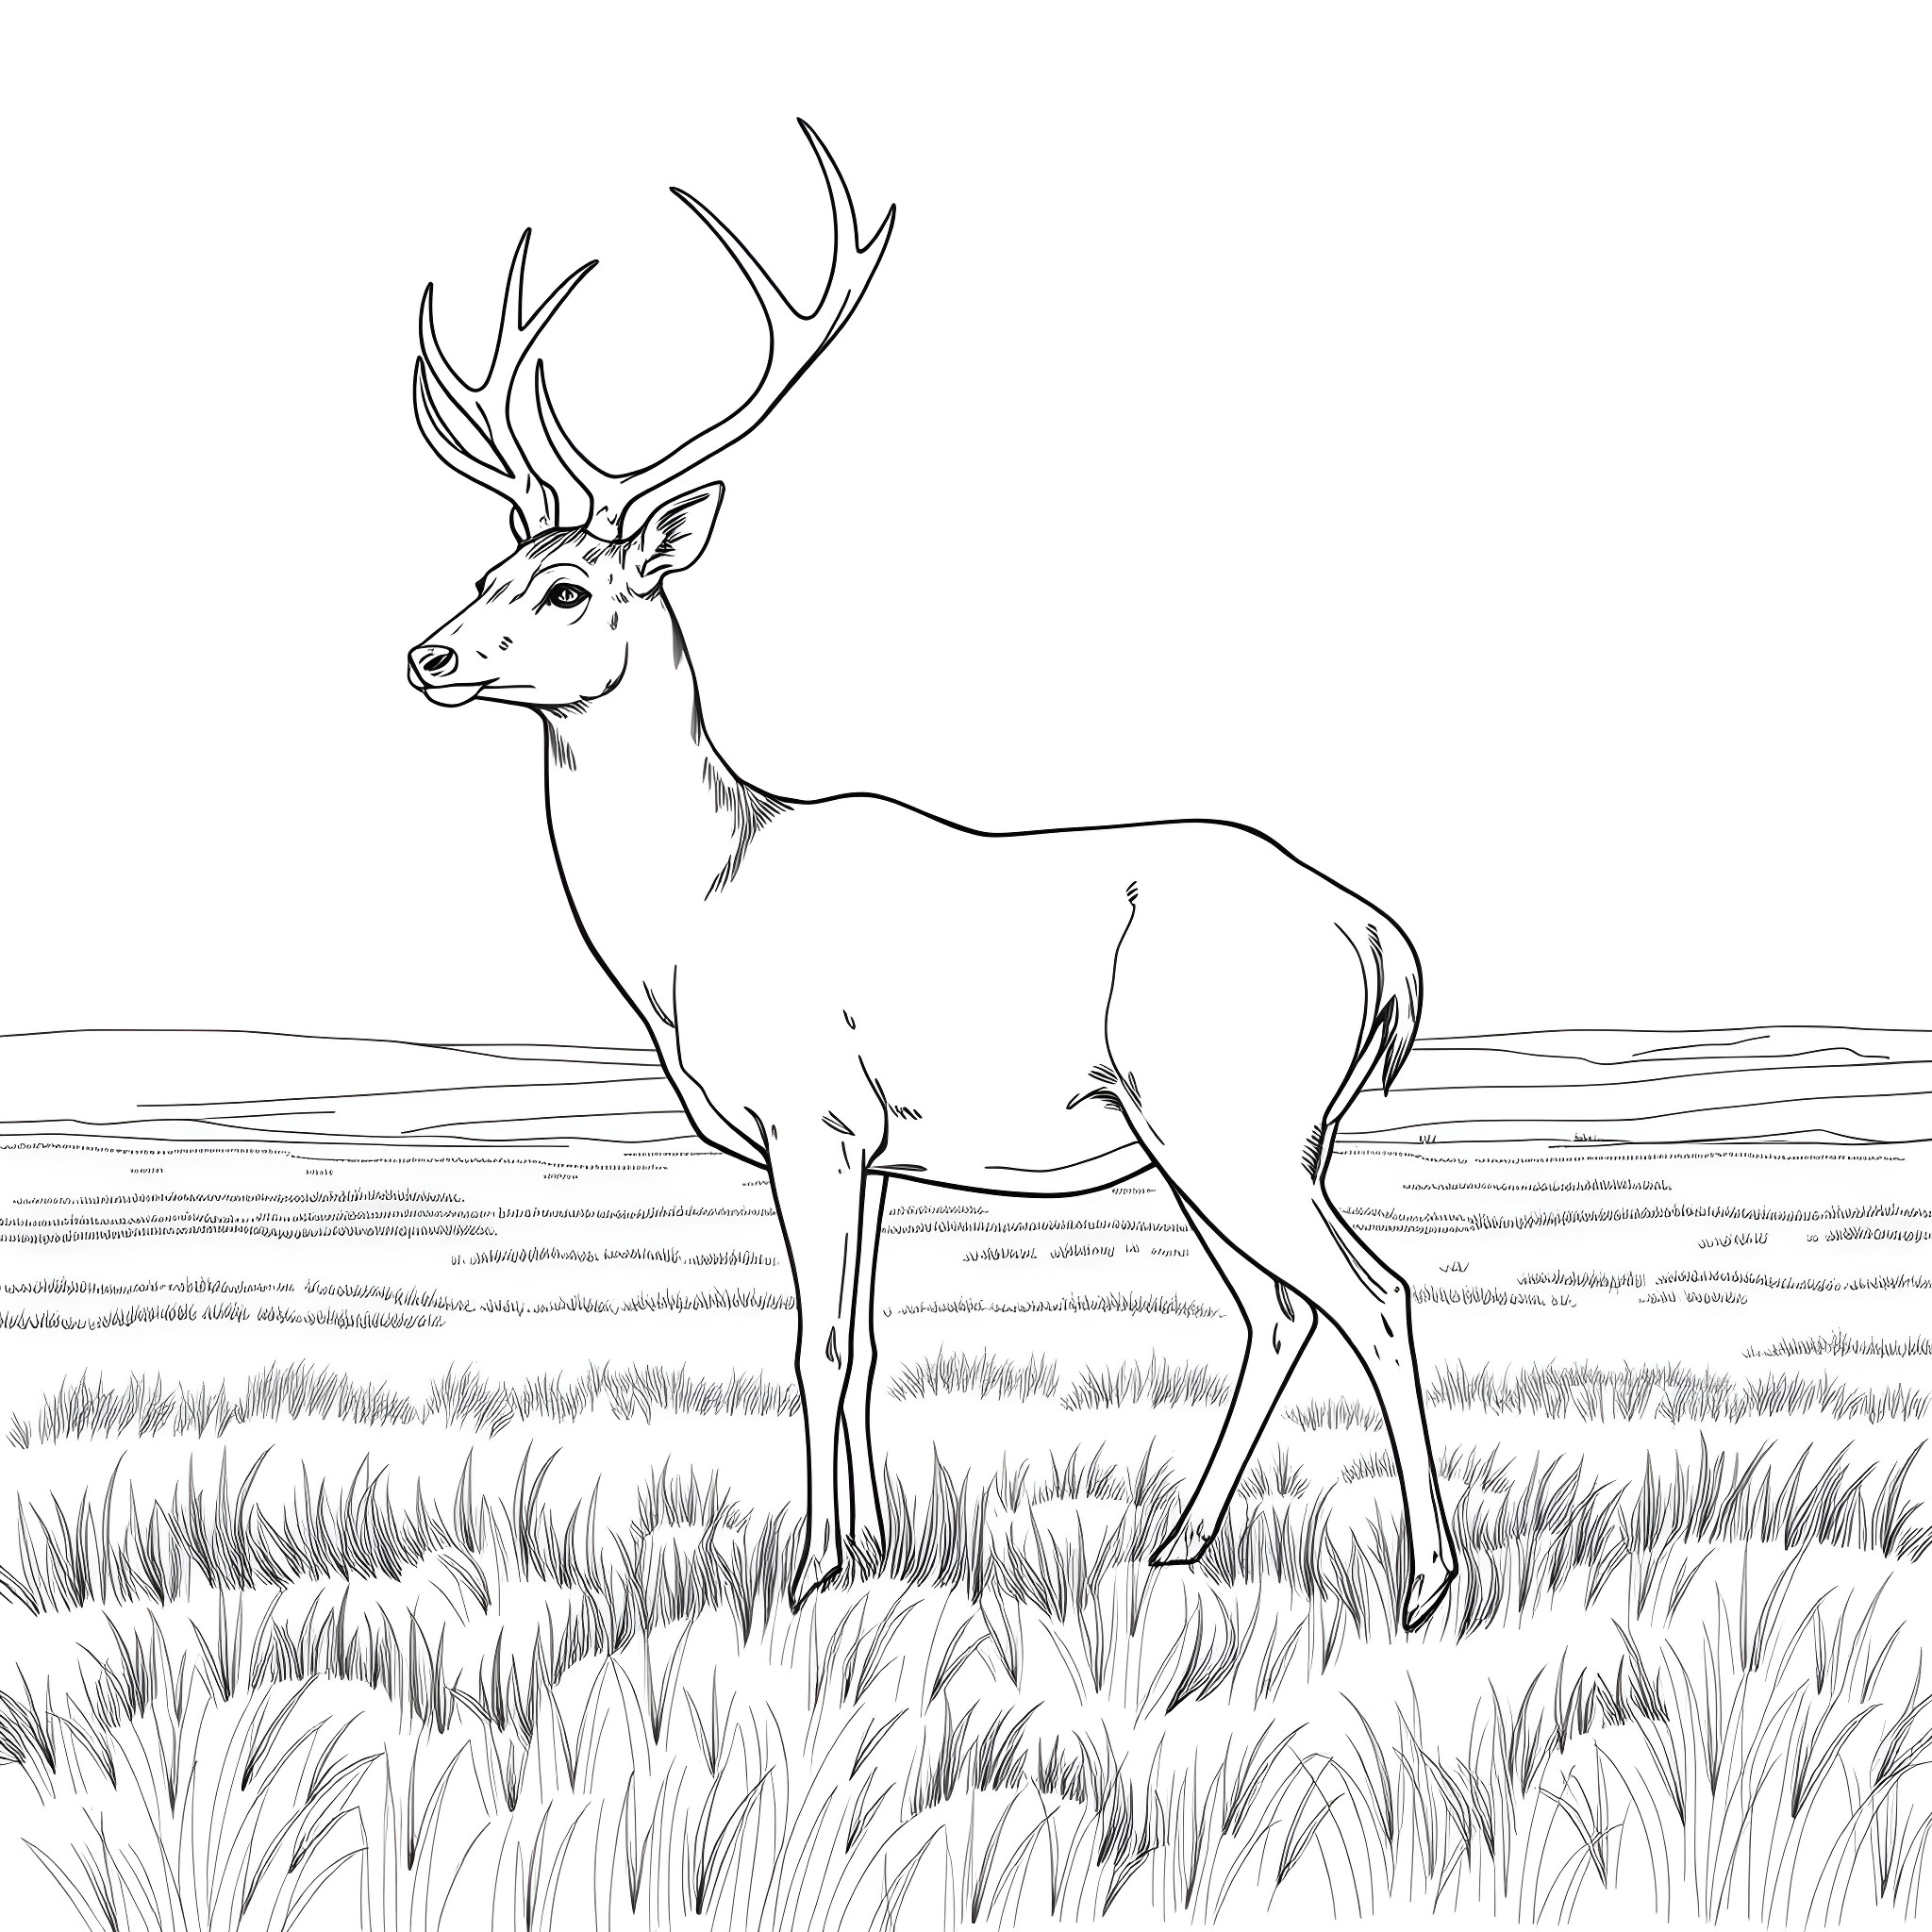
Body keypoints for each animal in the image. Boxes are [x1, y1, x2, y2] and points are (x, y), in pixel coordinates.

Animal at [406, 122, 1458, 1629]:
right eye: (490, 567)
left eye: (567, 590)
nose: (426, 654)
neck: (693, 912)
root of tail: (1378, 939)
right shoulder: (878, 1145)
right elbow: (868, 1340)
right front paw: (879, 1547)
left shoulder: (810, 1117)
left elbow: (817, 1346)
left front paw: (809, 1572)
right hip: (1228, 1139)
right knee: (1278, 1309)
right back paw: (1179, 1540)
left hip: (1233, 1120)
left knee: (1373, 1295)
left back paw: (1426, 1582)